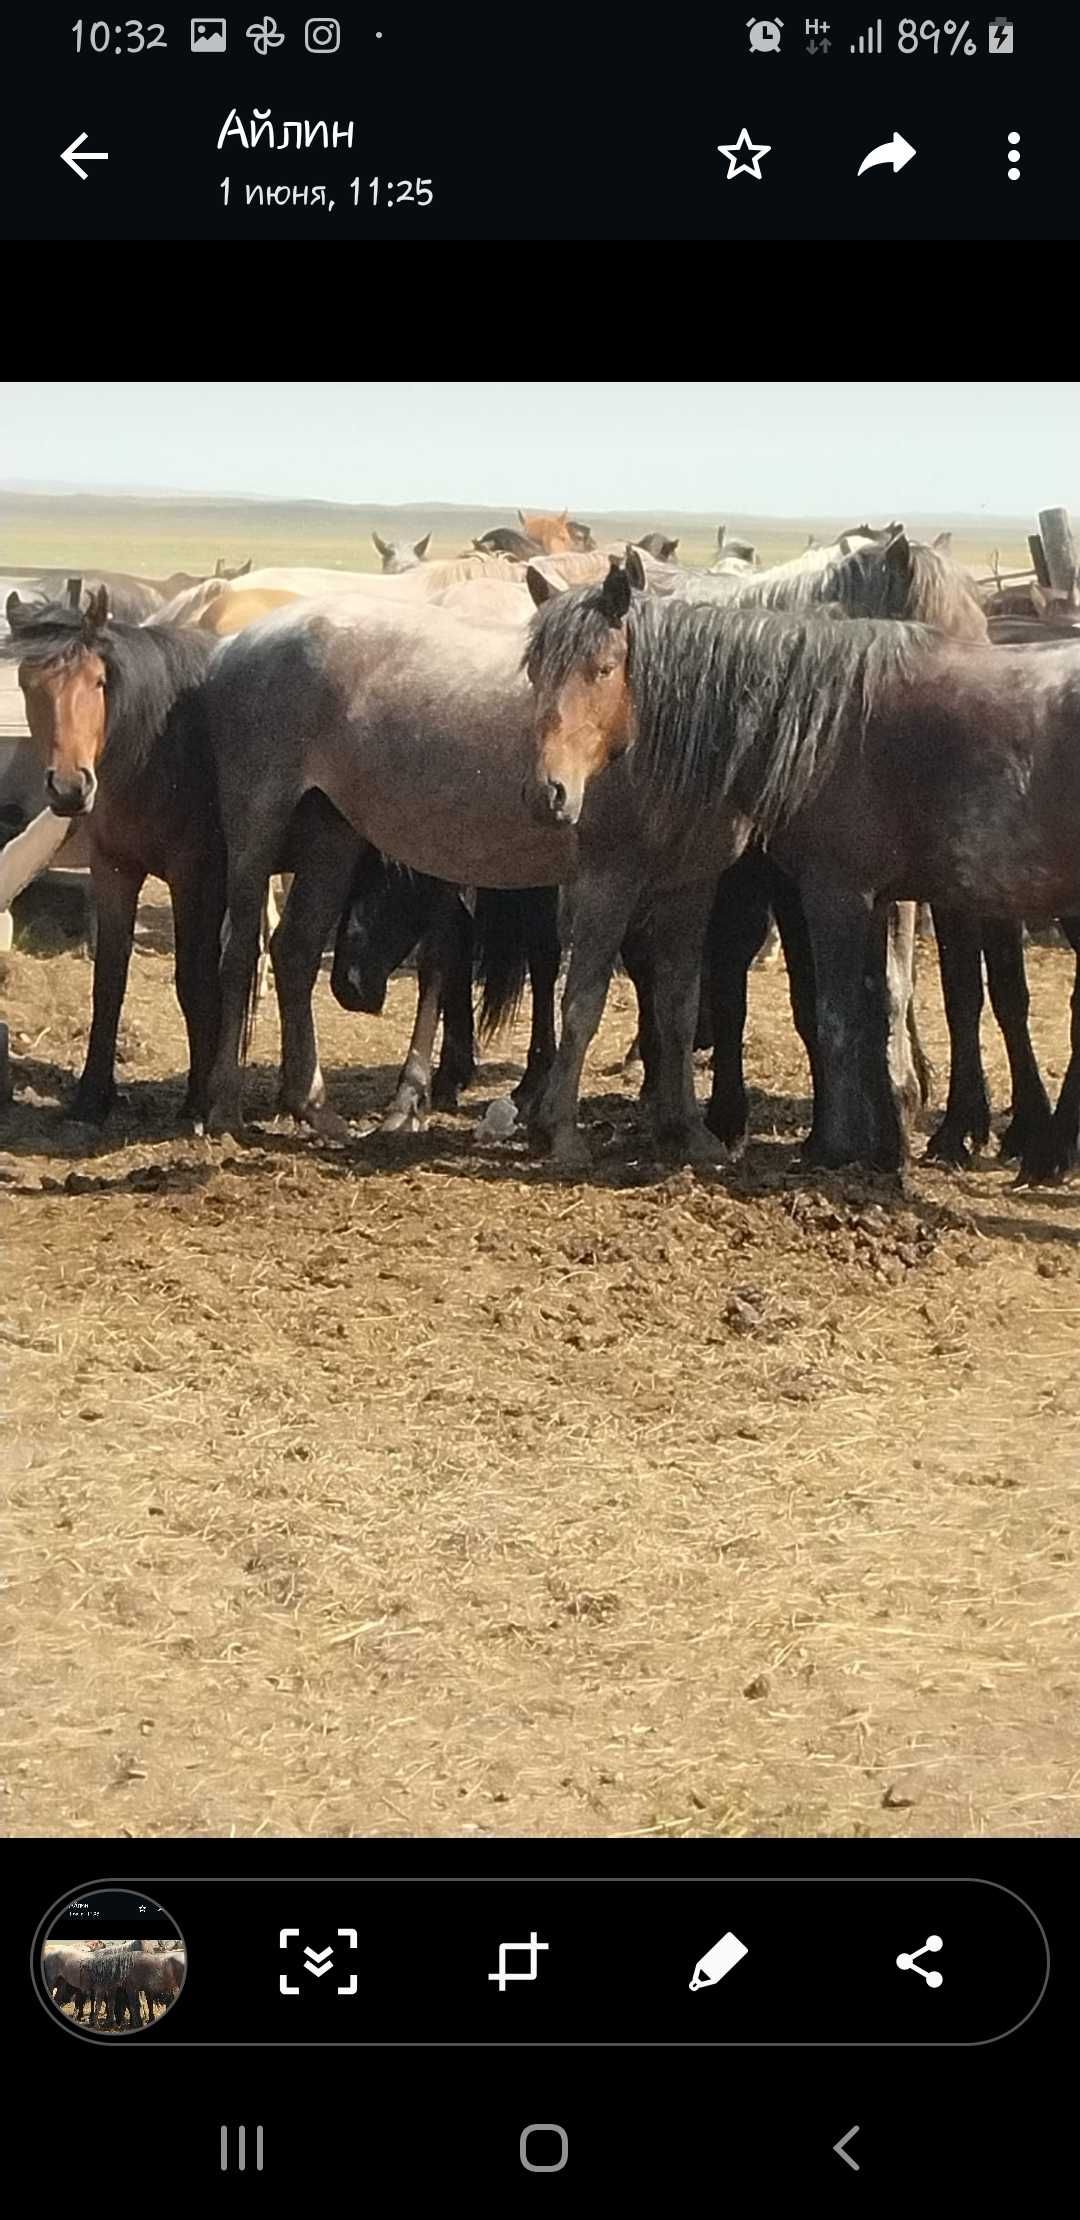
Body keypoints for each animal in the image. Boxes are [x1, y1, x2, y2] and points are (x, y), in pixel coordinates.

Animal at [526, 563, 1080, 1172]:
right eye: (534, 670)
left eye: (602, 669)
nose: (548, 791)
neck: (828, 720)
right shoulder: (874, 897)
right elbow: (873, 1009)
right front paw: (882, 1142)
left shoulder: (833, 891)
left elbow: (836, 1014)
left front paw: (833, 1146)